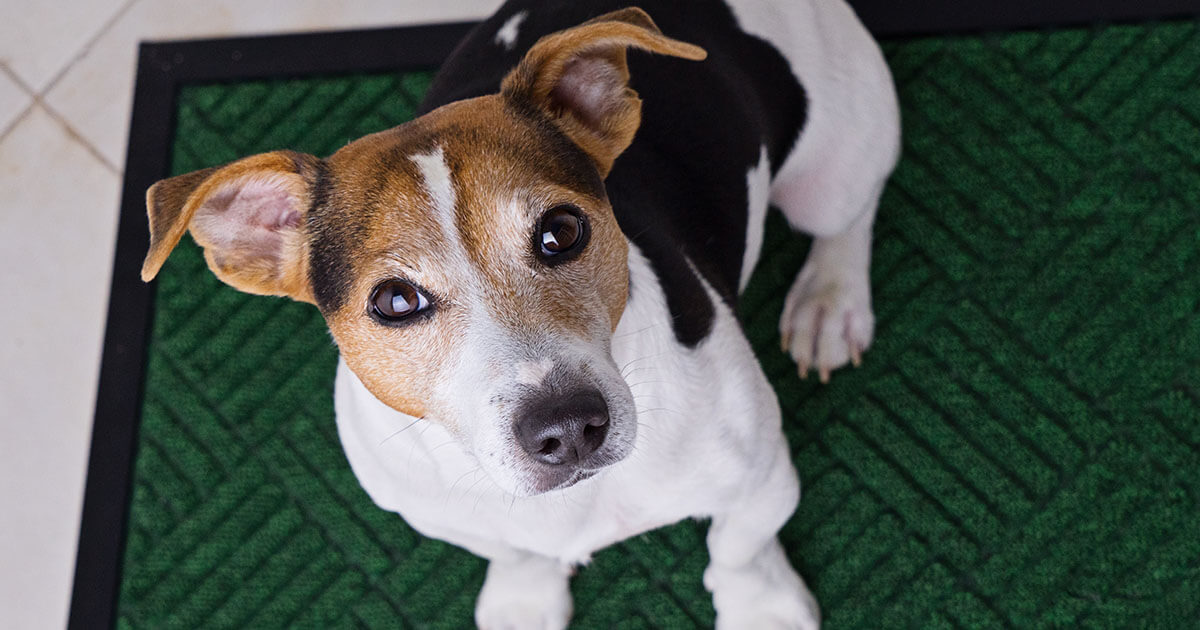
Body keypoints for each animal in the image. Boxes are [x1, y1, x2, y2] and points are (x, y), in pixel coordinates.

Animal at [136, 0, 897, 624]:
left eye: (561, 232)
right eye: (394, 302)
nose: (567, 427)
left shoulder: (761, 473)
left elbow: (740, 548)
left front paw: (761, 608)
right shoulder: (434, 508)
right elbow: (514, 552)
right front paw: (524, 600)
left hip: (835, 162)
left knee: (851, 212)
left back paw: (830, 301)